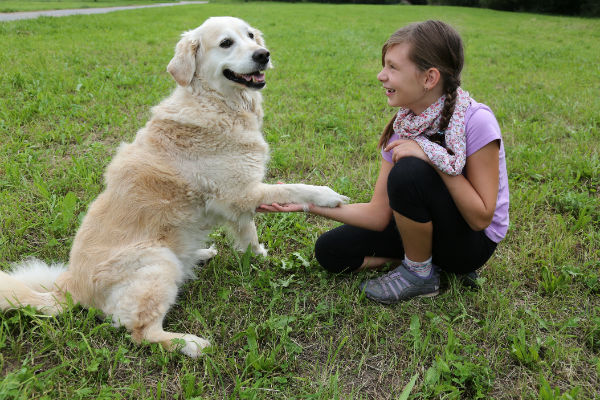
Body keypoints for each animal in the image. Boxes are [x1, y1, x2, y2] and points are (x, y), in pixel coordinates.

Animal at [1, 17, 346, 358]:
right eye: (226, 43)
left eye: (251, 36)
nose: (263, 54)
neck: (217, 102)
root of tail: (71, 287)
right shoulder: (240, 193)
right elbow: (293, 189)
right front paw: (327, 196)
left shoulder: (239, 199)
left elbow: (248, 232)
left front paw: (258, 255)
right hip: (158, 262)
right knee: (141, 333)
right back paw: (192, 344)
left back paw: (201, 254)